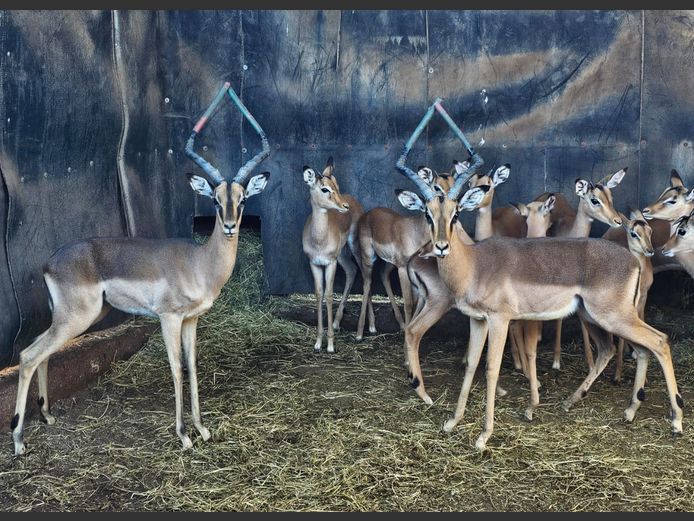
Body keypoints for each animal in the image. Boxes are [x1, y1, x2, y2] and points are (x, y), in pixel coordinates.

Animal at [10, 130, 270, 456]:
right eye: (215, 199)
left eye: (243, 199)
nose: (230, 226)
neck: (198, 263)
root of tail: (49, 262)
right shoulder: (168, 318)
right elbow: (177, 368)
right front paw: (184, 435)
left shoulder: (191, 320)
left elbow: (193, 366)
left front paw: (202, 429)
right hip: (77, 319)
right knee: (28, 355)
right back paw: (18, 440)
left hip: (74, 319)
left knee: (40, 351)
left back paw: (46, 415)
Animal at [302, 157, 364, 354]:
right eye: (324, 189)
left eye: (336, 185)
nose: (345, 206)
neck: (319, 240)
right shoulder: (314, 263)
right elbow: (319, 294)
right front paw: (317, 343)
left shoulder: (331, 263)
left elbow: (329, 295)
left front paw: (330, 345)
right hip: (342, 256)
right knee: (351, 271)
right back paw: (336, 323)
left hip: (354, 248)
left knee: (366, 276)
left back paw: (361, 332)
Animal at [397, 159, 682, 451]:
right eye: (428, 214)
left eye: (455, 214)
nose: (441, 247)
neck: (475, 264)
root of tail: (635, 261)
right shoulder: (477, 320)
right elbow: (471, 365)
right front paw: (452, 422)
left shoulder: (500, 320)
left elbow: (491, 369)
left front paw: (484, 435)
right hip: (598, 318)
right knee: (629, 349)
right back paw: (619, 409)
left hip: (614, 317)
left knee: (659, 341)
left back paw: (676, 421)